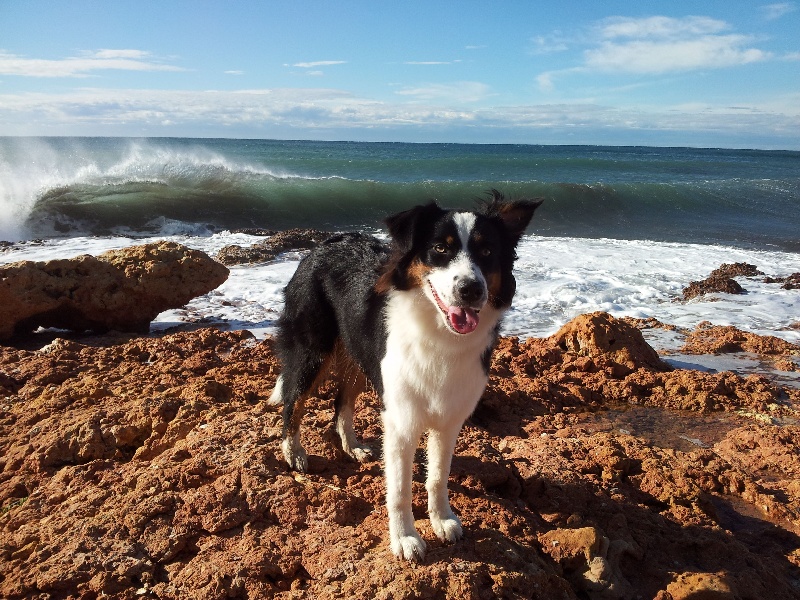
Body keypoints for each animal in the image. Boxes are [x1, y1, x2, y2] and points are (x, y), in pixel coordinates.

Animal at [268, 190, 544, 560]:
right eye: (440, 248)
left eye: (487, 252)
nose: (471, 289)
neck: (440, 334)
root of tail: (322, 244)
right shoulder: (401, 419)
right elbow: (399, 489)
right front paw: (405, 538)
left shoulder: (449, 419)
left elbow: (438, 475)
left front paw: (442, 519)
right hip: (312, 350)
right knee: (293, 401)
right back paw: (293, 452)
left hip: (360, 356)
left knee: (342, 404)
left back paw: (352, 446)